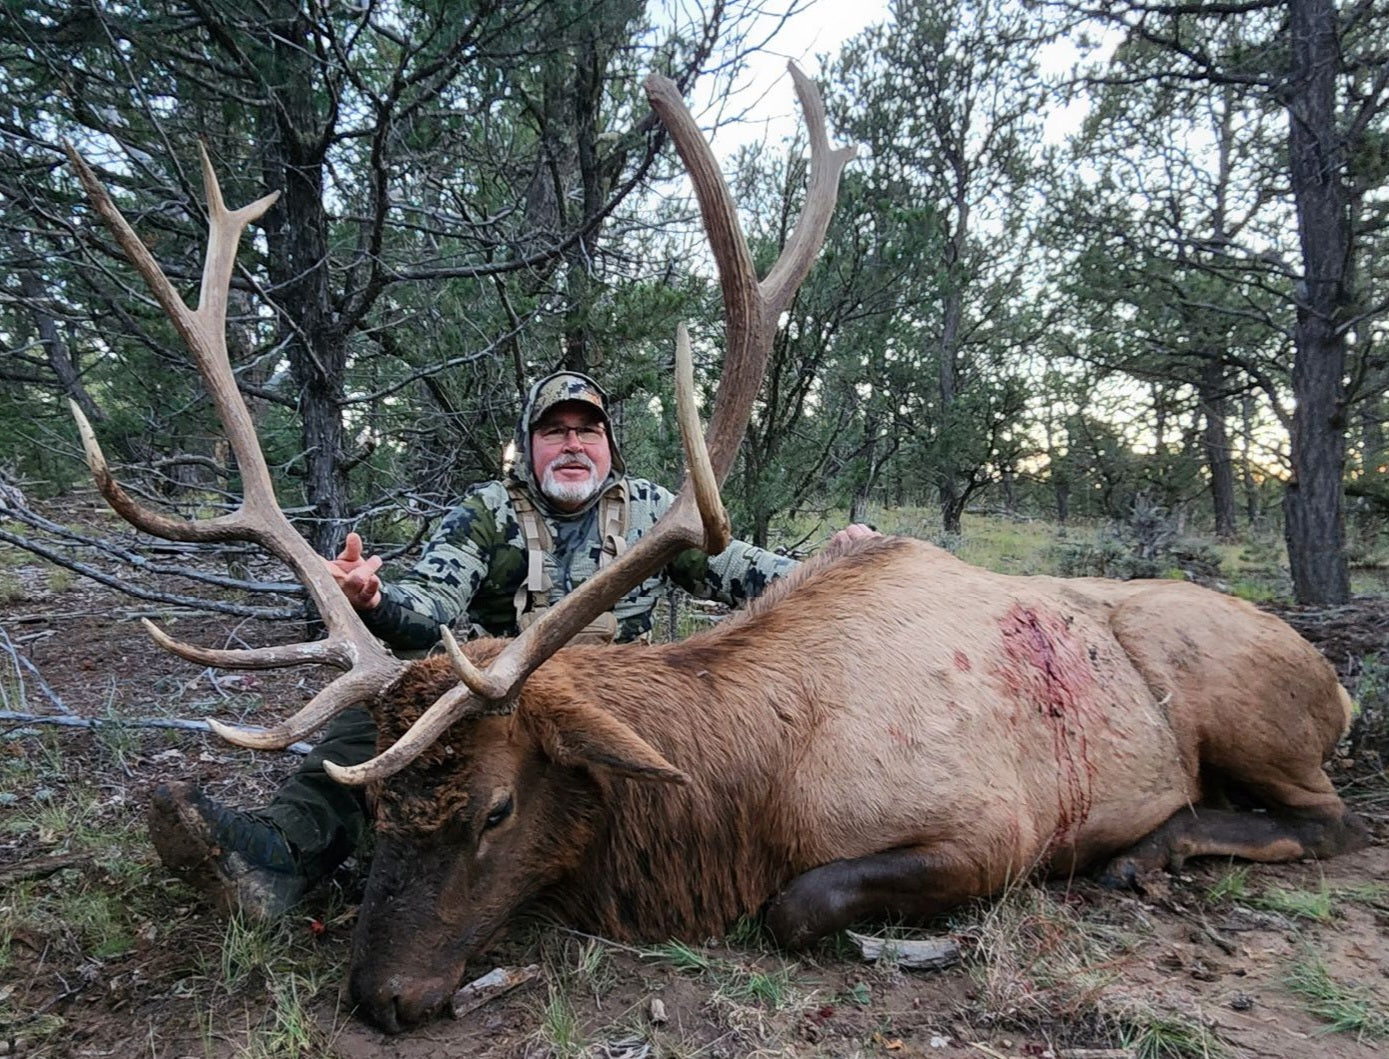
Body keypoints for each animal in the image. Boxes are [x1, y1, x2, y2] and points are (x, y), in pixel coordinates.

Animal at [64, 65, 1366, 1035]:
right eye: (383, 812)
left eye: (495, 808)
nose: (381, 998)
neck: (750, 793)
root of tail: (1340, 682)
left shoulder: (992, 822)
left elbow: (795, 906)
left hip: (1241, 699)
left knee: (1328, 819)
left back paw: (1156, 850)